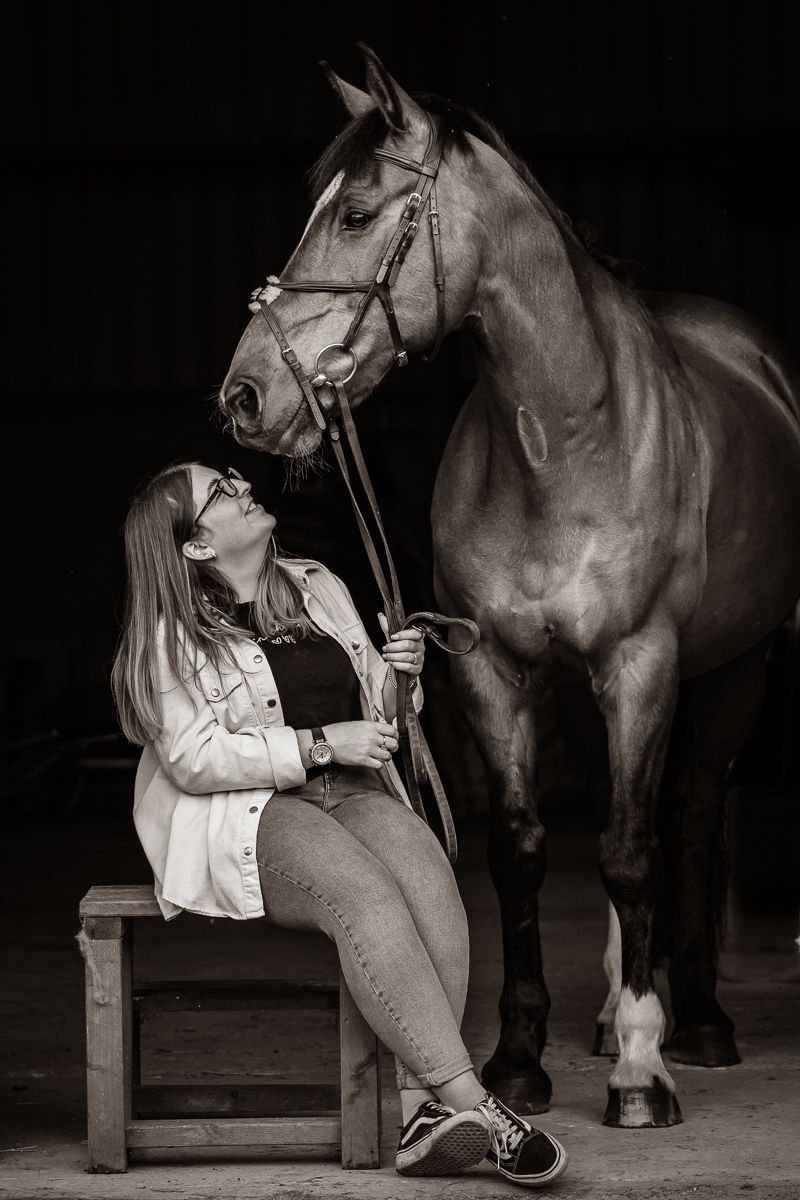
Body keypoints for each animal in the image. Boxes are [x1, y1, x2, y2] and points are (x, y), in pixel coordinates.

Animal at [219, 45, 800, 1127]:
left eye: (355, 212)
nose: (246, 395)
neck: (563, 445)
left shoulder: (641, 665)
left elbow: (631, 852)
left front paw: (641, 1074)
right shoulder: (490, 668)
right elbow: (522, 851)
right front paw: (520, 1056)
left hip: (729, 669)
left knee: (689, 816)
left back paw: (694, 1021)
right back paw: (615, 1010)